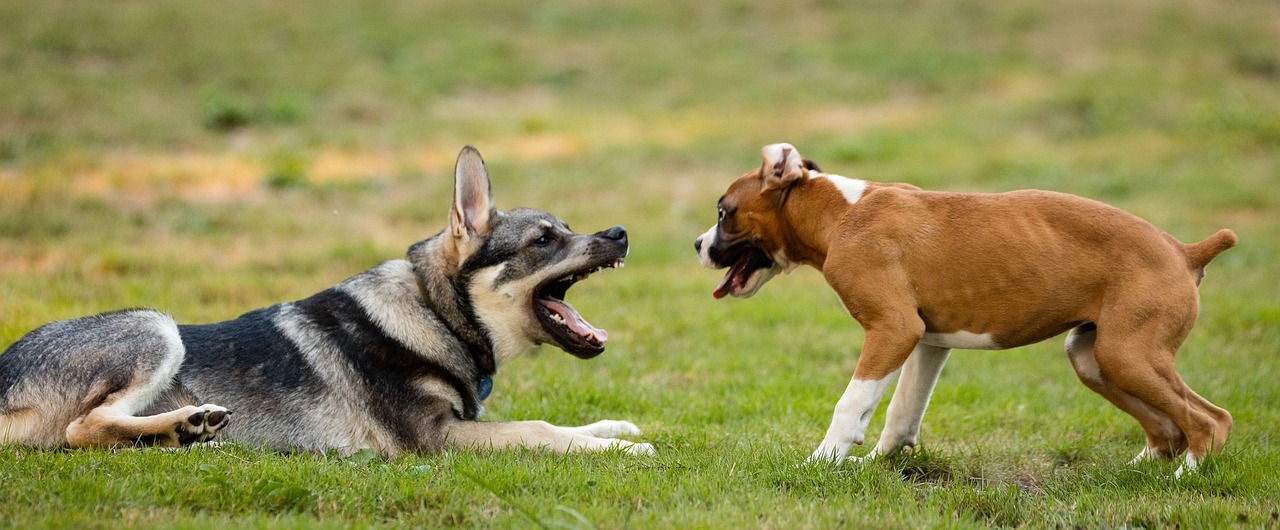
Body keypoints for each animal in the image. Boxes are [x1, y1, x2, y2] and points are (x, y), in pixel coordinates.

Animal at [696, 142, 1233, 476]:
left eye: (725, 212)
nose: (697, 244)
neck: (841, 211)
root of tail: (1184, 250)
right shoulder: (926, 342)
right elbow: (901, 413)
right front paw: (875, 467)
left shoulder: (892, 330)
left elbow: (851, 404)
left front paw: (821, 463)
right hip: (1095, 358)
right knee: (1168, 426)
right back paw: (1140, 473)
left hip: (1128, 356)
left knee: (1209, 420)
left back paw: (1184, 479)